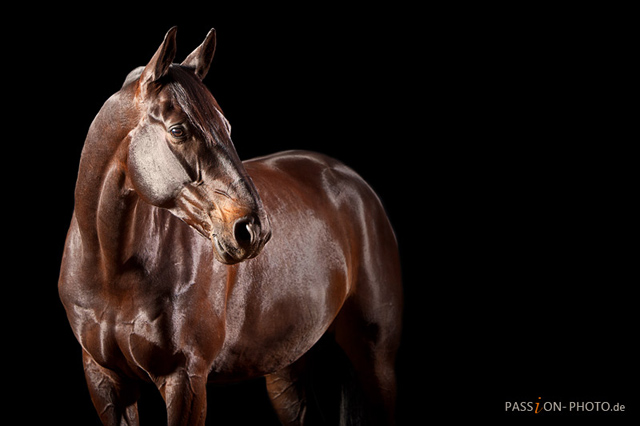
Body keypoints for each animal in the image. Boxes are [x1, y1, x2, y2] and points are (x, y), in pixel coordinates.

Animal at [58, 27, 400, 426]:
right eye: (178, 129)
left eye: (227, 126)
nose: (254, 230)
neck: (112, 270)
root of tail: (352, 183)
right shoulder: (106, 380)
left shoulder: (185, 379)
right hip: (286, 366)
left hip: (375, 360)